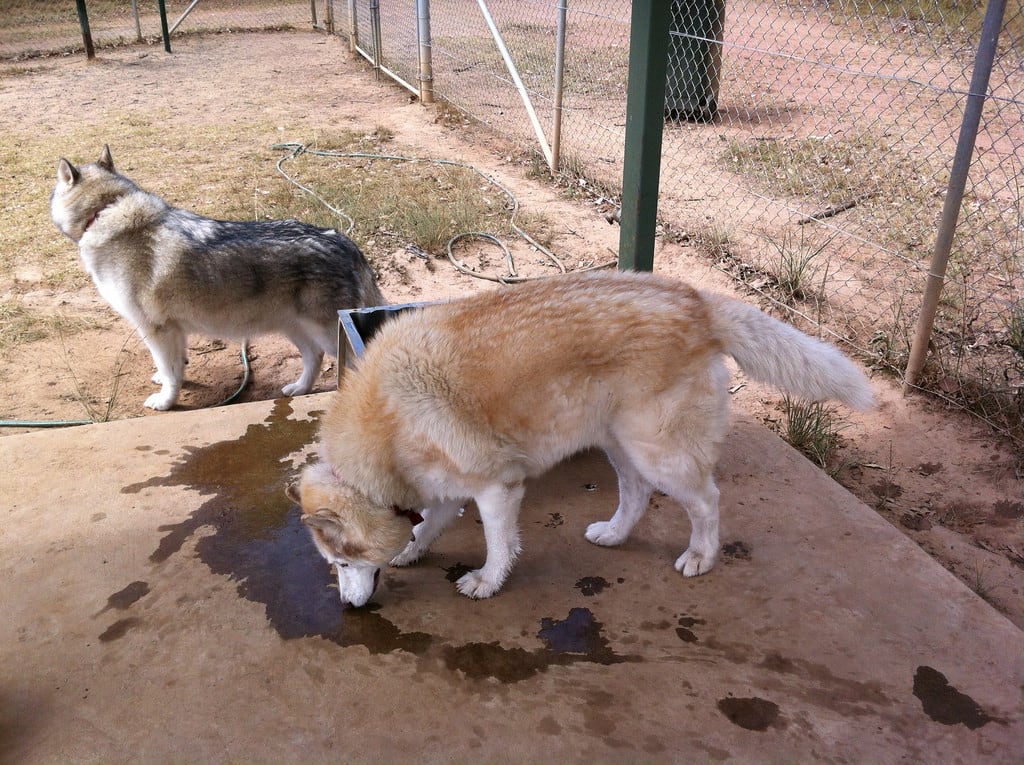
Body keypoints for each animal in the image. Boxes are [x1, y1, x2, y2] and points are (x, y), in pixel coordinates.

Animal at [50, 145, 385, 410]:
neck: (106, 210)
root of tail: (345, 242)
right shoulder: (173, 329)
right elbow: (175, 366)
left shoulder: (155, 329)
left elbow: (170, 372)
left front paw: (165, 402)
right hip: (295, 328)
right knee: (313, 358)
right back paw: (299, 389)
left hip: (327, 334)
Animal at [287, 271, 874, 607]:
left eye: (341, 565)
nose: (348, 606)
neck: (385, 423)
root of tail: (696, 300)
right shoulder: (449, 490)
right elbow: (427, 523)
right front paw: (411, 548)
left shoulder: (498, 489)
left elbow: (499, 544)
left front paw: (488, 582)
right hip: (619, 445)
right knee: (636, 494)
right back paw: (614, 534)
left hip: (660, 453)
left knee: (707, 500)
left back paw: (700, 557)